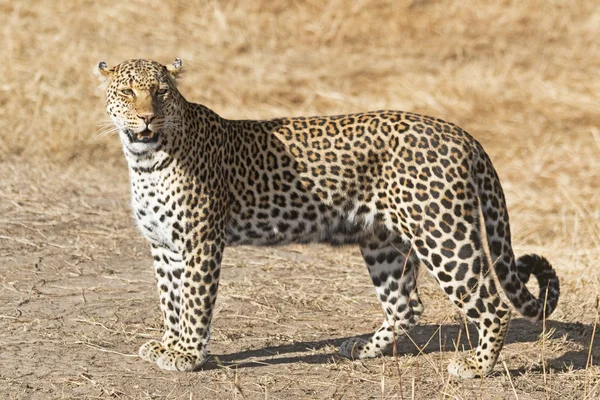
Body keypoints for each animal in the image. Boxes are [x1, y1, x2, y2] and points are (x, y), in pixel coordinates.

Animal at [94, 58, 556, 378]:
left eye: (160, 92)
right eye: (128, 91)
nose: (147, 117)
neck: (146, 160)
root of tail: (460, 133)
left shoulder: (200, 242)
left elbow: (193, 302)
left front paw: (188, 355)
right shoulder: (164, 246)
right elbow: (170, 301)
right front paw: (168, 346)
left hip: (441, 233)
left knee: (492, 305)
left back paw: (477, 367)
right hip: (382, 240)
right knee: (406, 304)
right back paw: (362, 349)